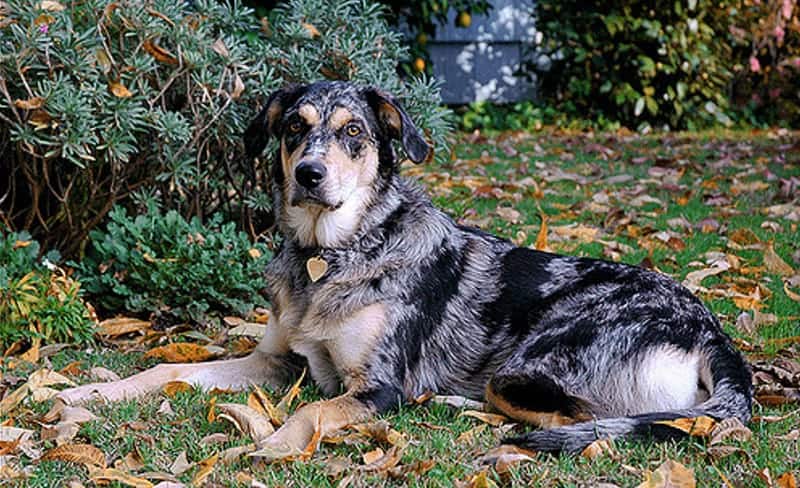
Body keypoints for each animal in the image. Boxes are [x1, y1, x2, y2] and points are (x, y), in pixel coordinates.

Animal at [59, 81, 752, 458]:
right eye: (293, 128)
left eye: (353, 133)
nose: (309, 174)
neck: (335, 252)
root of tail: (712, 332)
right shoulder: (275, 360)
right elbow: (168, 370)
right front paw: (88, 393)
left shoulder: (377, 387)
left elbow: (311, 412)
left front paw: (276, 445)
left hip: (530, 368)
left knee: (585, 423)